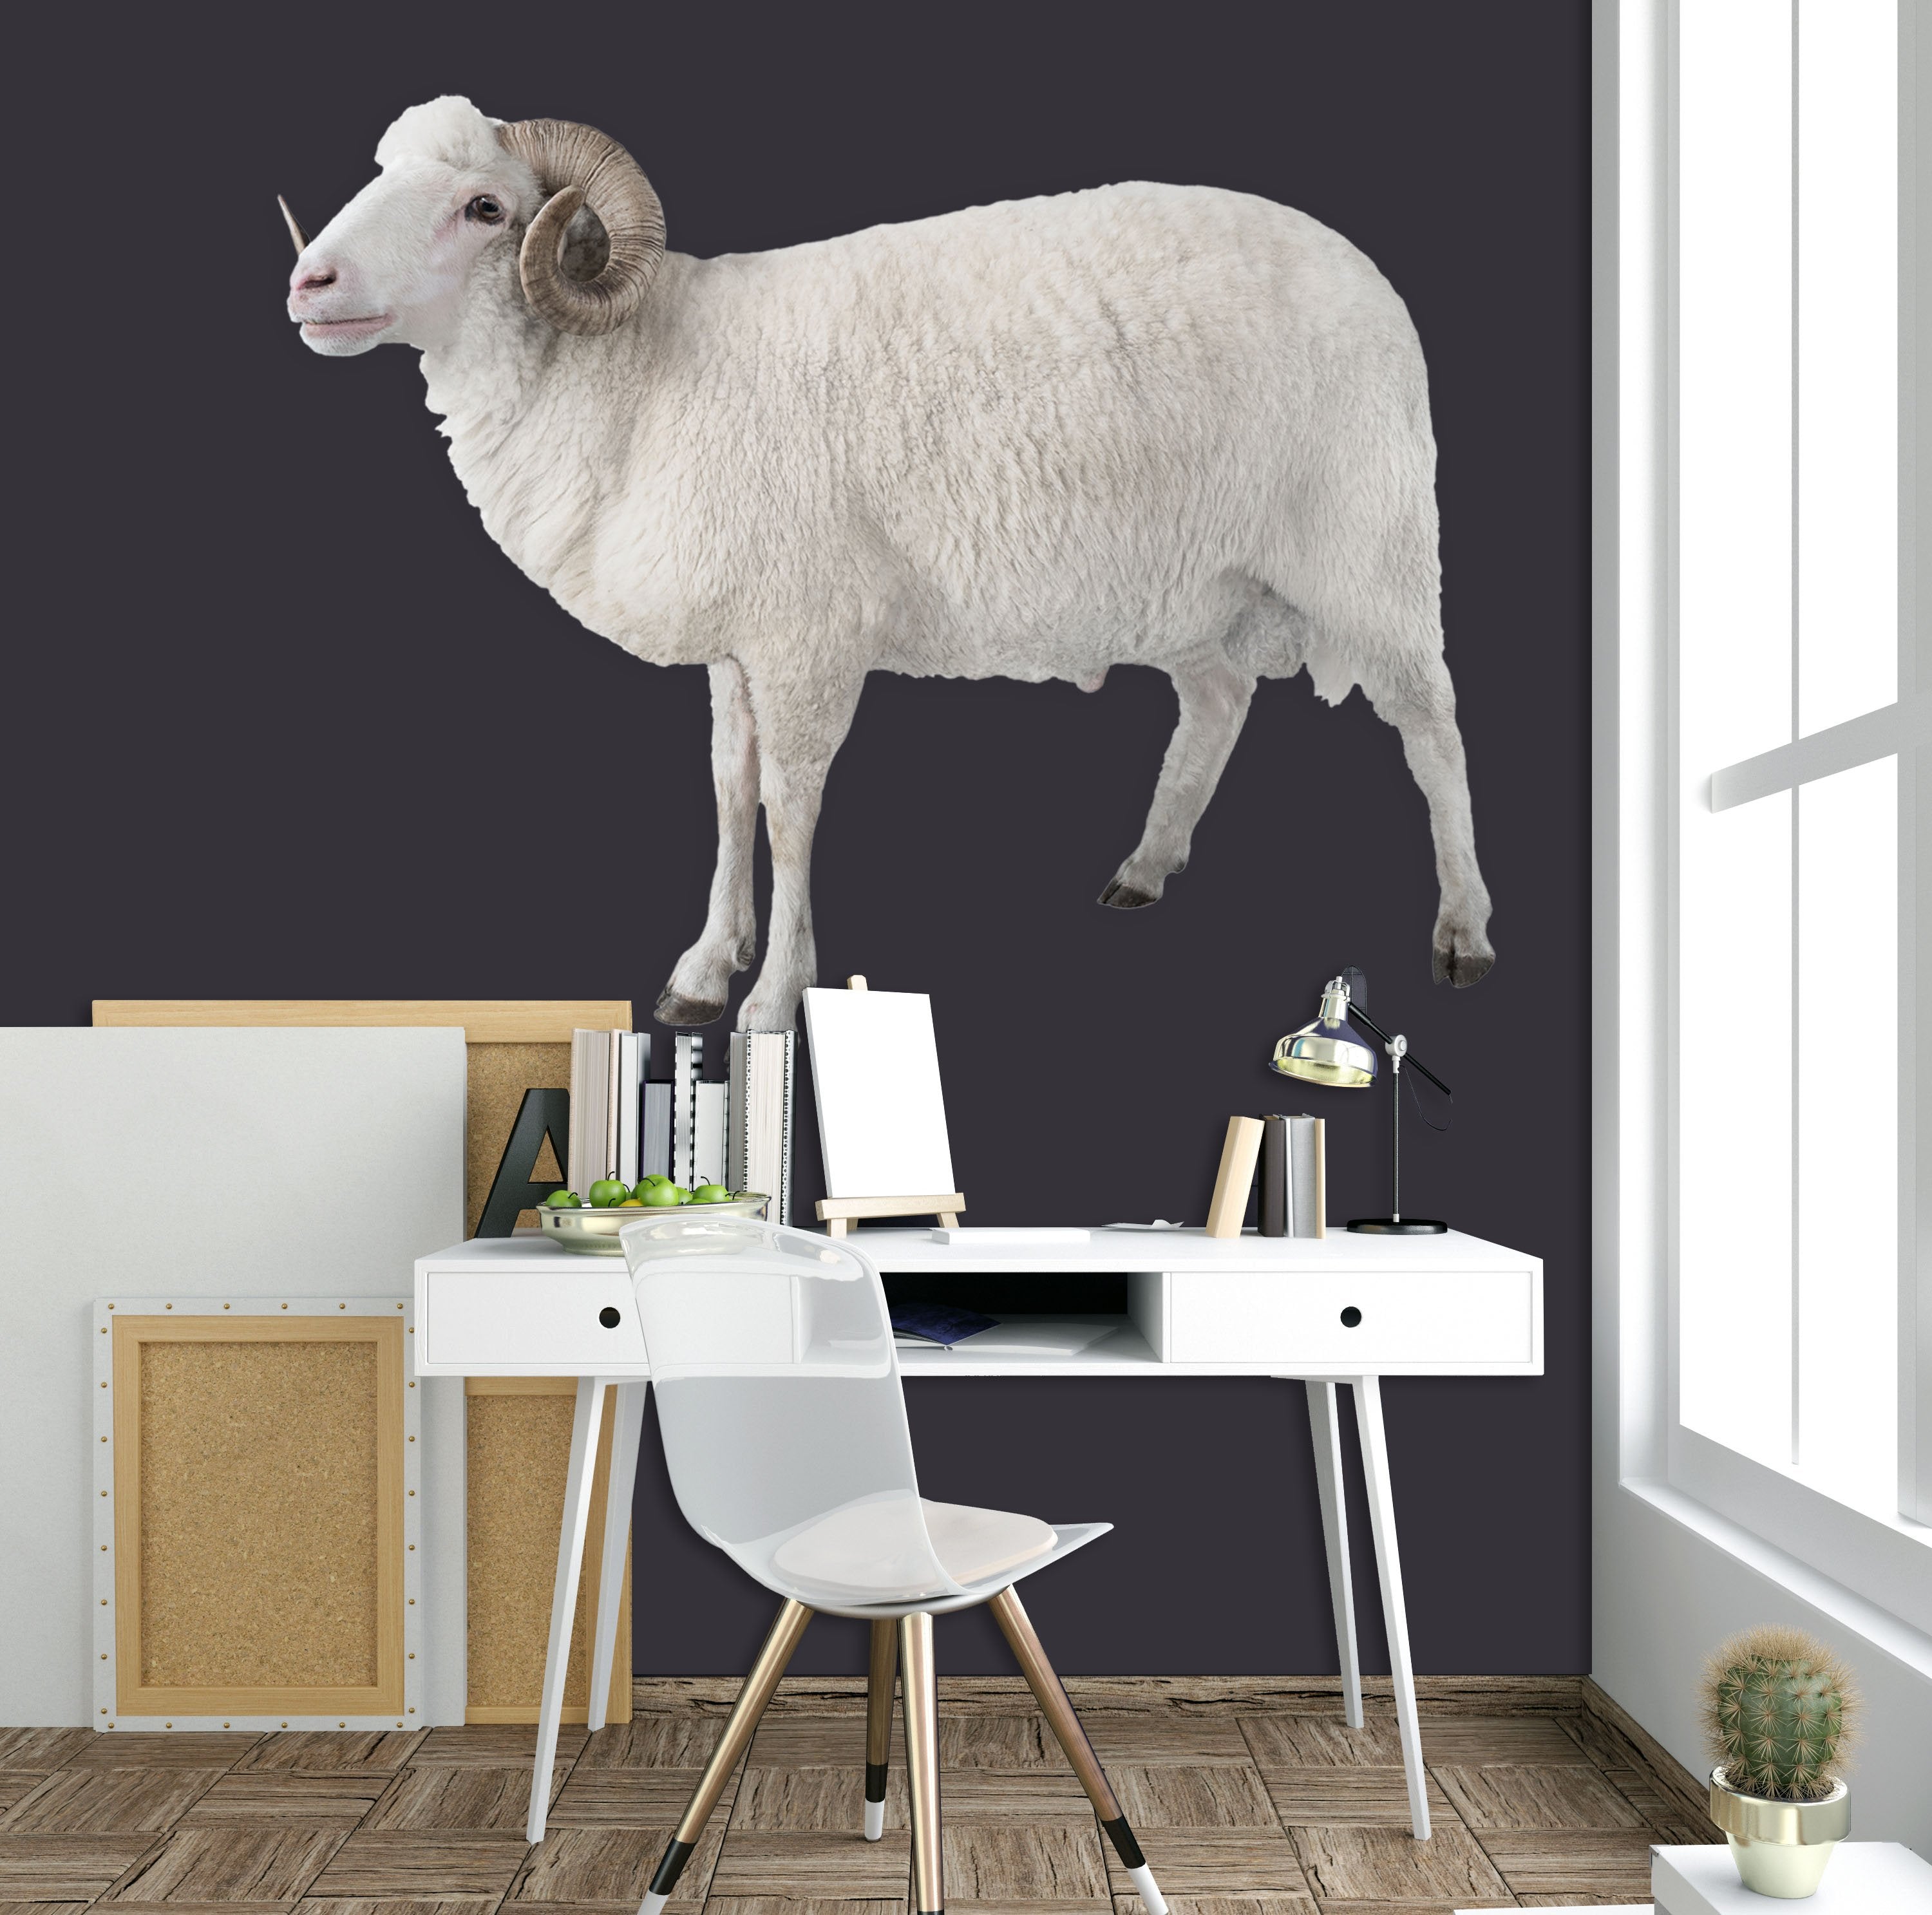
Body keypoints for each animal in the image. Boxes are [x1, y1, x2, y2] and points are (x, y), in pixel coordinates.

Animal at [284, 96, 1495, 1032]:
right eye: (384, 172)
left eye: (486, 209)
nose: (310, 281)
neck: (641, 371)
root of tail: (1370, 276)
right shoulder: (741, 643)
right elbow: (726, 789)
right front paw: (703, 967)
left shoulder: (806, 637)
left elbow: (789, 803)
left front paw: (775, 997)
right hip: (1197, 584)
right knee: (1218, 704)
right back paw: (1145, 866)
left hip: (1372, 556)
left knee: (1433, 729)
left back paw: (1464, 930)